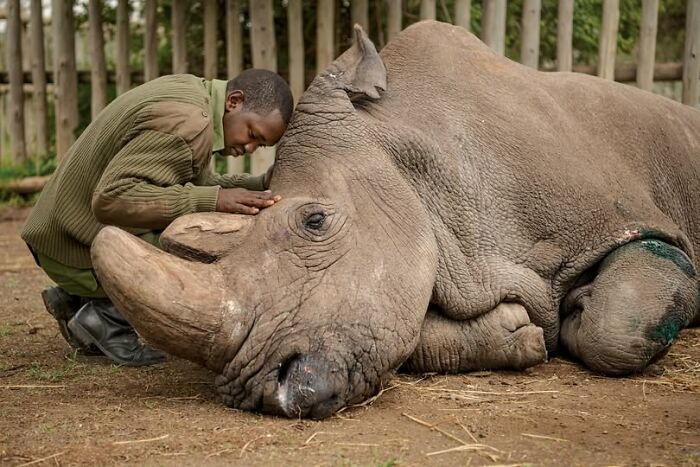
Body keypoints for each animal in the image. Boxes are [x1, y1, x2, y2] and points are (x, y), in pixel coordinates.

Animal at [91, 21, 700, 419]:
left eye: (315, 222)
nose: (263, 391)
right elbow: (407, 334)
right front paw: (520, 332)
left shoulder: (627, 223)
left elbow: (615, 327)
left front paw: (577, 313)